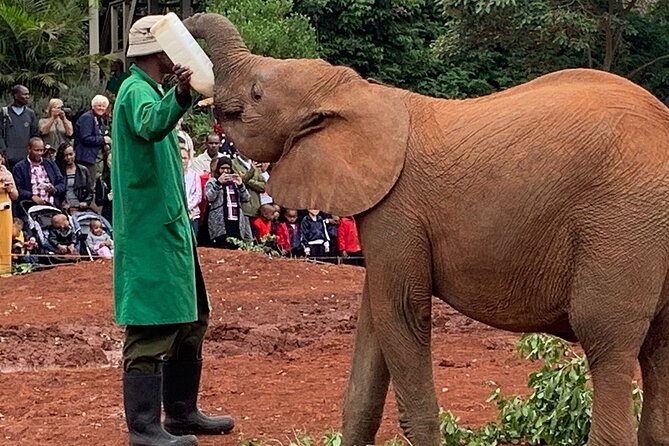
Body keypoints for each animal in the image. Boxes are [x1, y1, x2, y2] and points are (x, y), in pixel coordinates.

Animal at [183, 13, 669, 446]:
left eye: (257, 93)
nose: (175, 41)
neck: (359, 92)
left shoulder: (398, 210)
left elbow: (401, 312)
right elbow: (373, 329)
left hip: (622, 223)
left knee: (606, 340)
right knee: (658, 351)